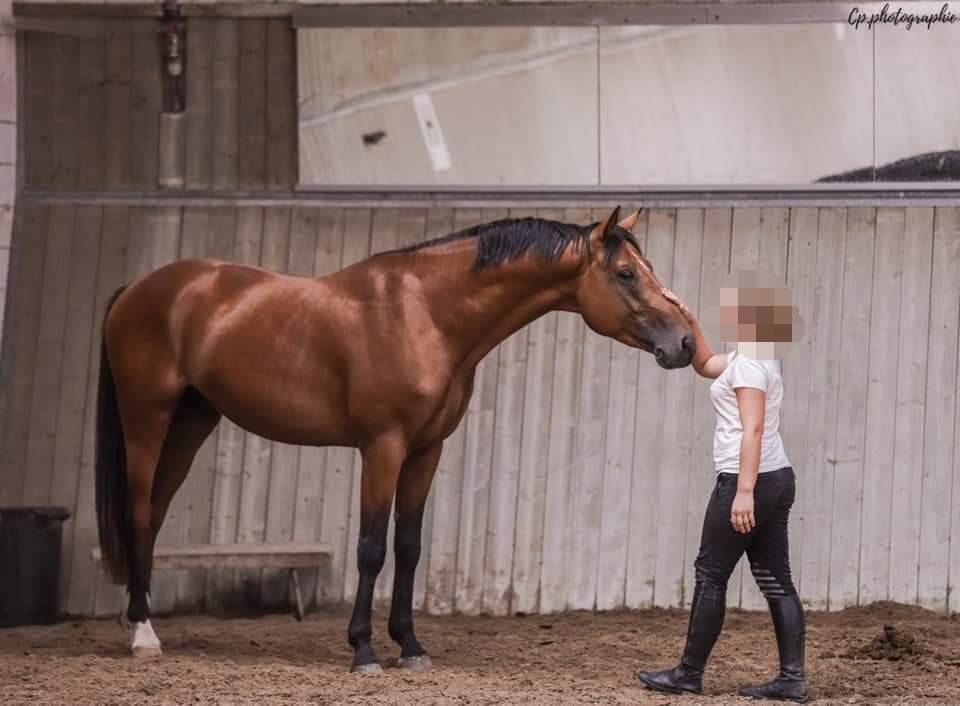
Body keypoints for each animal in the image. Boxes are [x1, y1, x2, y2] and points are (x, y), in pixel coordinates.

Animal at [94, 205, 695, 672]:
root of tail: (135, 289)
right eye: (625, 273)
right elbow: (370, 548)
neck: (425, 313)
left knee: (155, 514)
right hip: (147, 420)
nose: (686, 343)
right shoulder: (383, 447)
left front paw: (409, 645)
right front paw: (363, 651)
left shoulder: (427, 450)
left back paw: (141, 620)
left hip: (191, 423)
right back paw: (143, 636)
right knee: (141, 511)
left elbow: (408, 546)